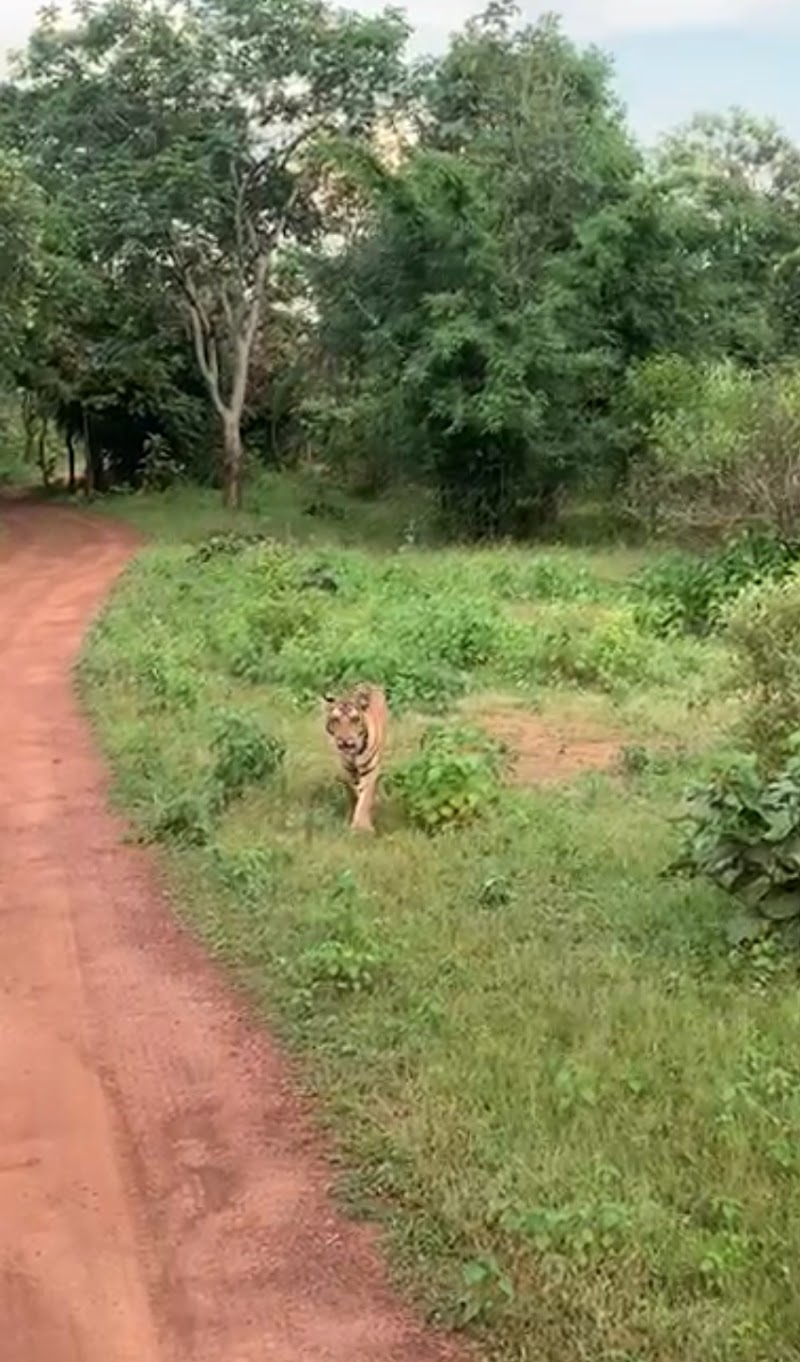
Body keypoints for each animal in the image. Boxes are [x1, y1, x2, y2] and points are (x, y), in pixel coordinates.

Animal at [323, 683, 388, 832]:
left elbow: (365, 797)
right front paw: (351, 820)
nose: (345, 742)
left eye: (355, 720)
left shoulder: (370, 769)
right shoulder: (347, 770)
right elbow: (354, 793)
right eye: (336, 720)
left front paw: (362, 827)